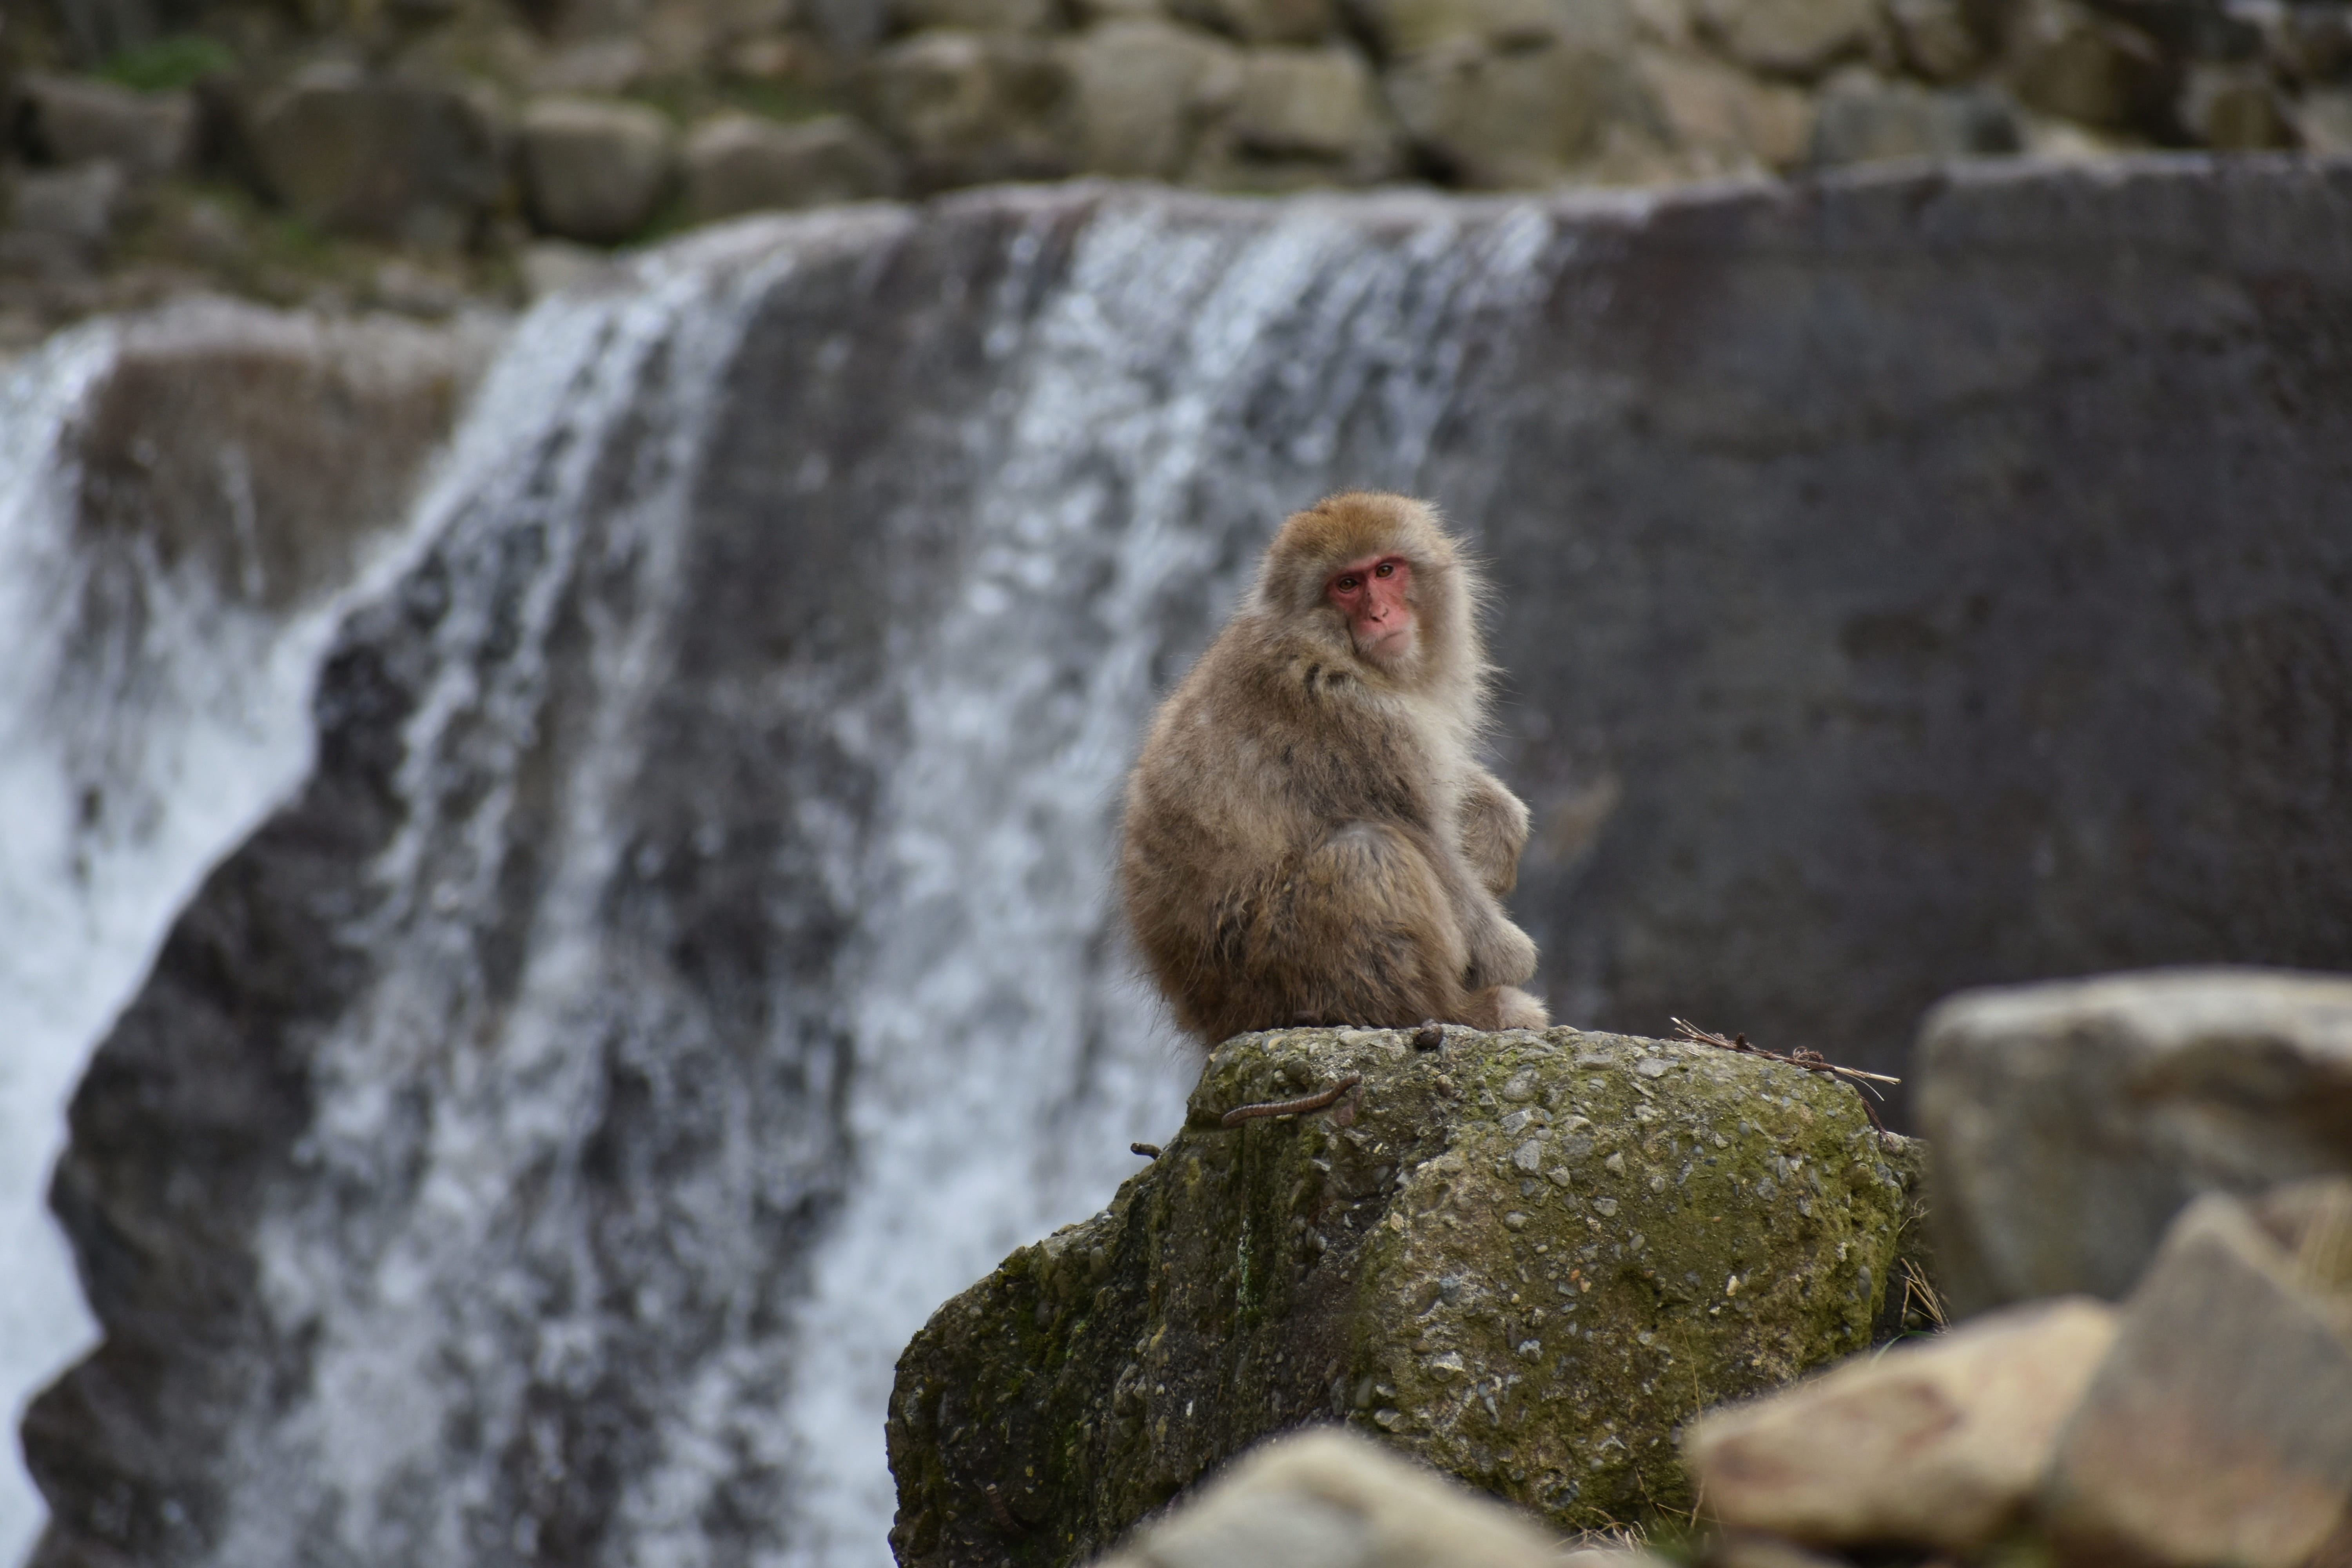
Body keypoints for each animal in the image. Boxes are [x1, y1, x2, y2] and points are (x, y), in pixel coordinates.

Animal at [1119, 491, 1549, 1047]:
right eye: (1346, 585)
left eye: (1386, 570)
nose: (1381, 613)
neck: (1332, 648)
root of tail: (1209, 1020)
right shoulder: (1348, 714)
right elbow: (1427, 838)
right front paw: (1509, 955)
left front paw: (1500, 820)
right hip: (1269, 972)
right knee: (1364, 853)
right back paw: (1452, 1012)